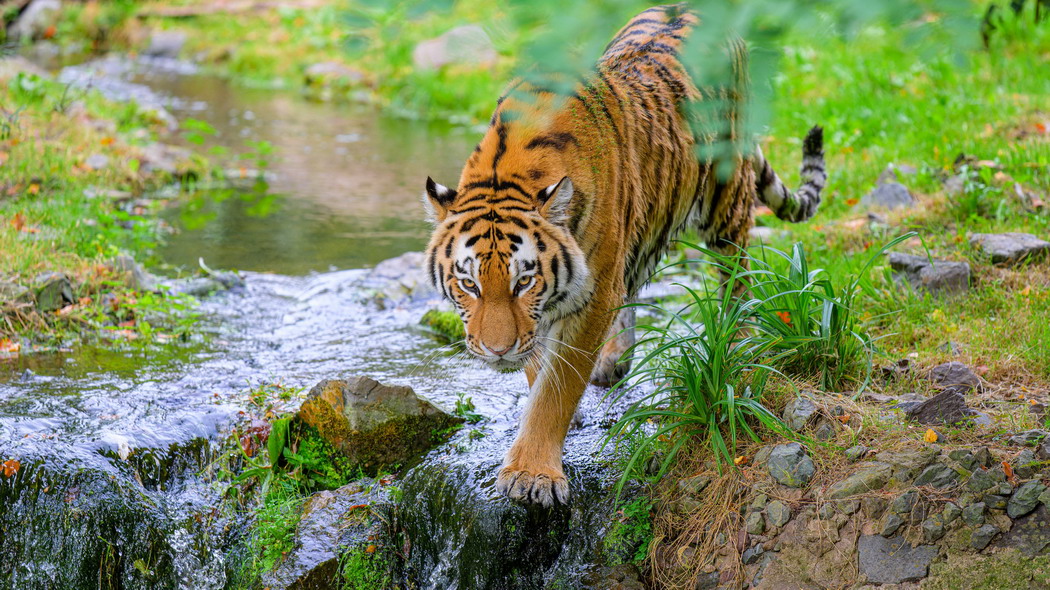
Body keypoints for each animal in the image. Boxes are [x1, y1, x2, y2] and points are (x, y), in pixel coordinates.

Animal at [422, 2, 823, 503]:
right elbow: (540, 365)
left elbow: (558, 387)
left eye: (523, 281)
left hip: (725, 199)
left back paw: (737, 338)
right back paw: (615, 360)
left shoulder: (590, 294)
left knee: (735, 275)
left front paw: (532, 473)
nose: (497, 352)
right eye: (469, 284)